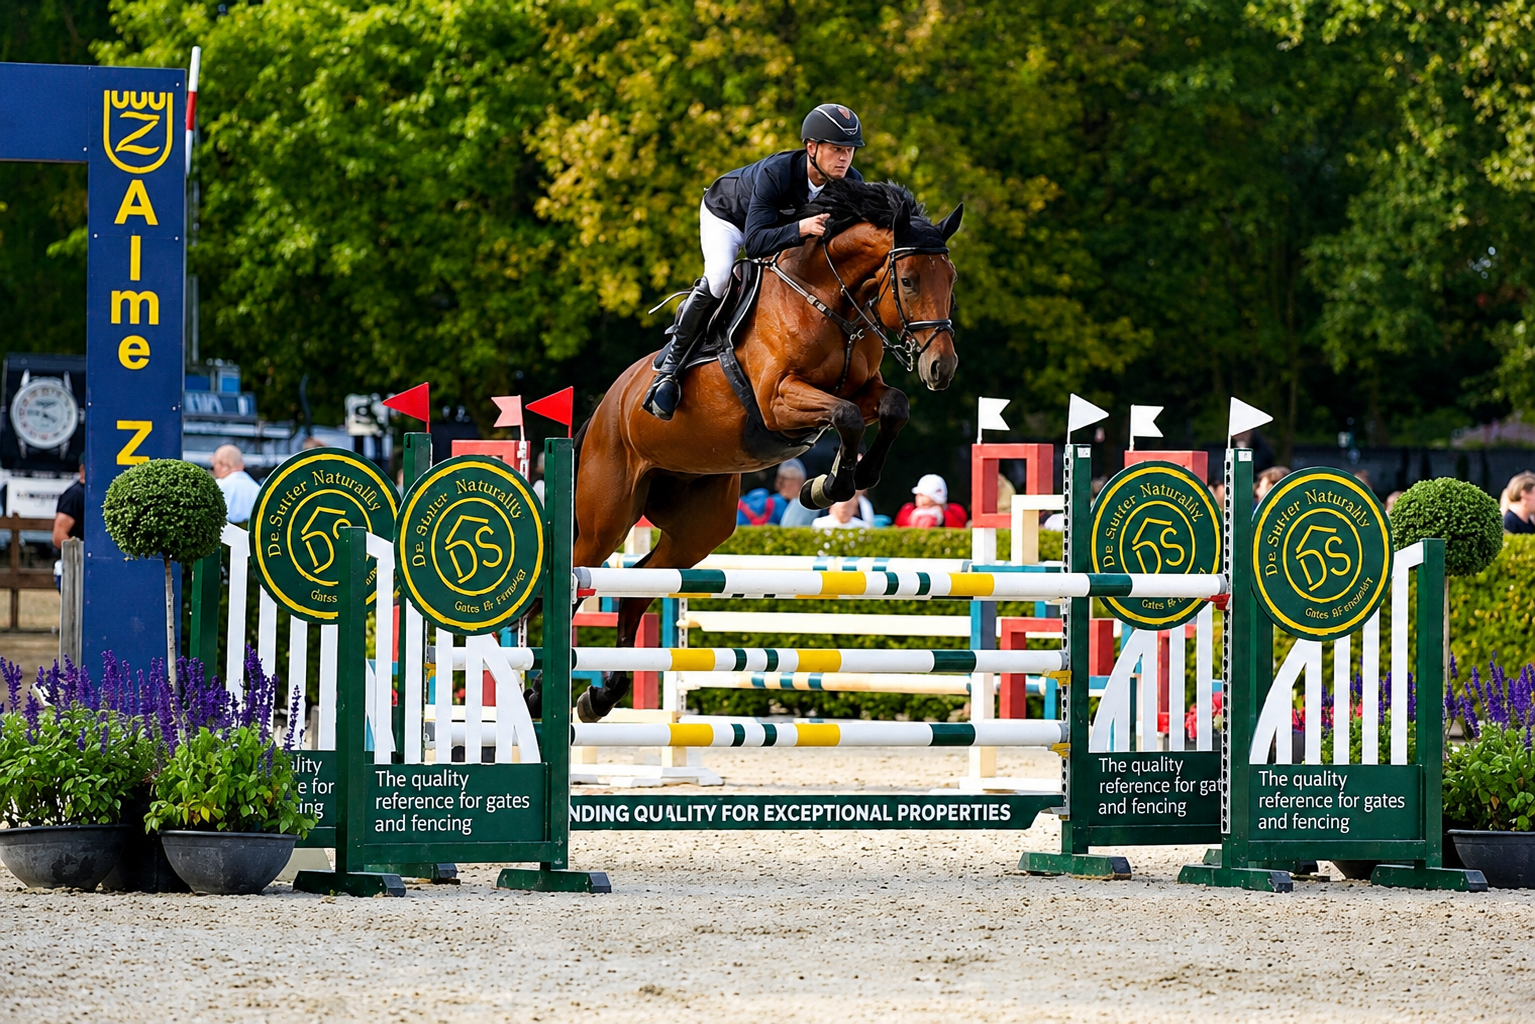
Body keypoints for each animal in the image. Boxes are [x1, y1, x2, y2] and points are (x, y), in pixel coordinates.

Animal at [570, 177, 962, 722]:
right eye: (907, 281)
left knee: (637, 589)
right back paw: (538, 691)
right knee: (574, 581)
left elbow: (893, 407)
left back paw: (602, 695)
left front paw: (845, 480)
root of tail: (608, 405)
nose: (941, 369)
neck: (829, 300)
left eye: (950, 279)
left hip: (699, 527)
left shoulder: (864, 391)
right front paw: (830, 485)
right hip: (606, 518)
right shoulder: (778, 400)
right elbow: (843, 416)